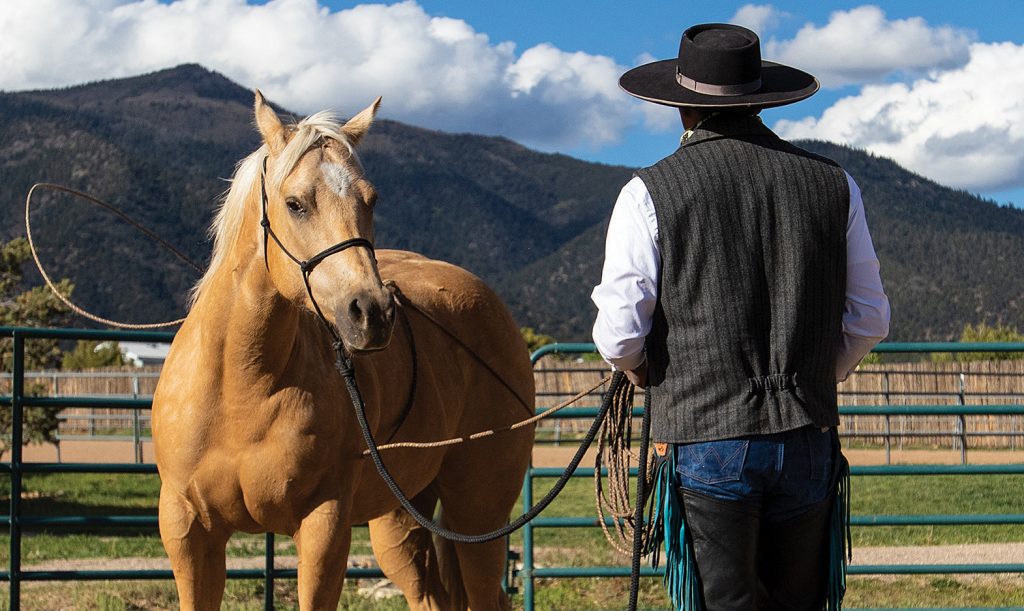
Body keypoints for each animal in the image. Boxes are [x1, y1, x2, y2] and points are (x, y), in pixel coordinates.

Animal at [152, 91, 535, 611]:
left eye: (370, 200)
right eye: (294, 203)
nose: (372, 312)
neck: (237, 389)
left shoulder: (324, 527)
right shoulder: (189, 531)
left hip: (479, 513)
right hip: (401, 522)